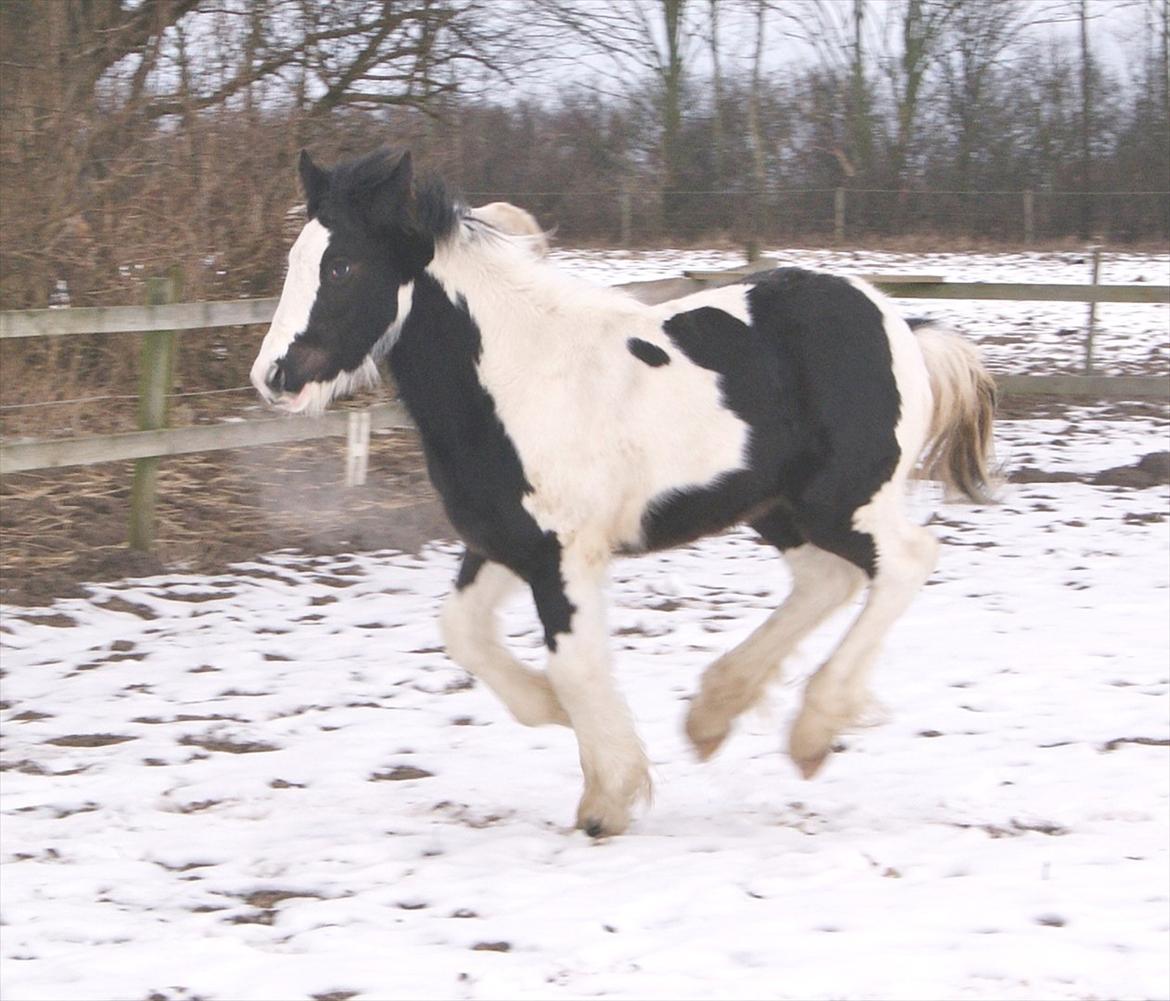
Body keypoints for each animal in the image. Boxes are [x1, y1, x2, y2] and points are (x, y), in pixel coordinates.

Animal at [249, 148, 996, 837]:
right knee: (826, 580)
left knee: (906, 562)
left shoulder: (565, 552)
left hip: (842, 499)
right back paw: (713, 716)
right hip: (779, 508)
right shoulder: (504, 540)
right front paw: (554, 714)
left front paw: (607, 798)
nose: (274, 377)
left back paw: (812, 729)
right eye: (296, 259)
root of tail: (901, 328)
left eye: (342, 267)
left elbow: (576, 665)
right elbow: (462, 631)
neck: (517, 380)